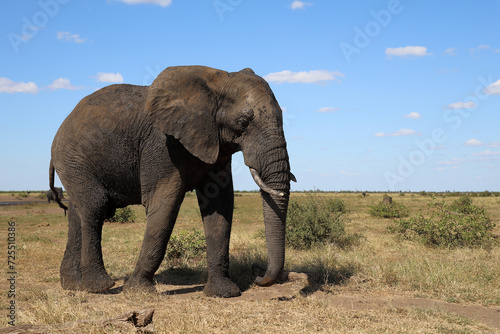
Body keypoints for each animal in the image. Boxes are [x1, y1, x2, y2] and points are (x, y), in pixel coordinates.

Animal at [48, 65, 292, 298]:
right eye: (243, 123)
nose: (258, 278)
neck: (217, 80)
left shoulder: (215, 143)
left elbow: (219, 205)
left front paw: (224, 293)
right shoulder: (161, 145)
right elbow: (164, 203)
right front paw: (138, 291)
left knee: (77, 213)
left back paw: (74, 286)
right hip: (74, 159)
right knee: (95, 207)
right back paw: (100, 287)